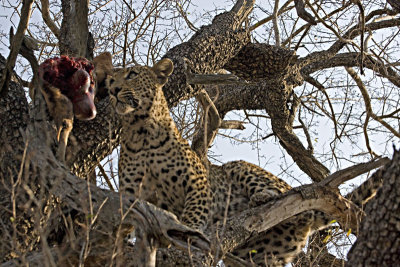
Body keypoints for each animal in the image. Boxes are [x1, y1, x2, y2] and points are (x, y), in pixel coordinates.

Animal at [106, 58, 212, 230]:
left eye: (132, 74)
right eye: (110, 81)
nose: (113, 90)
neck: (141, 130)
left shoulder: (198, 181)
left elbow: (194, 213)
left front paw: (188, 229)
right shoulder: (130, 190)